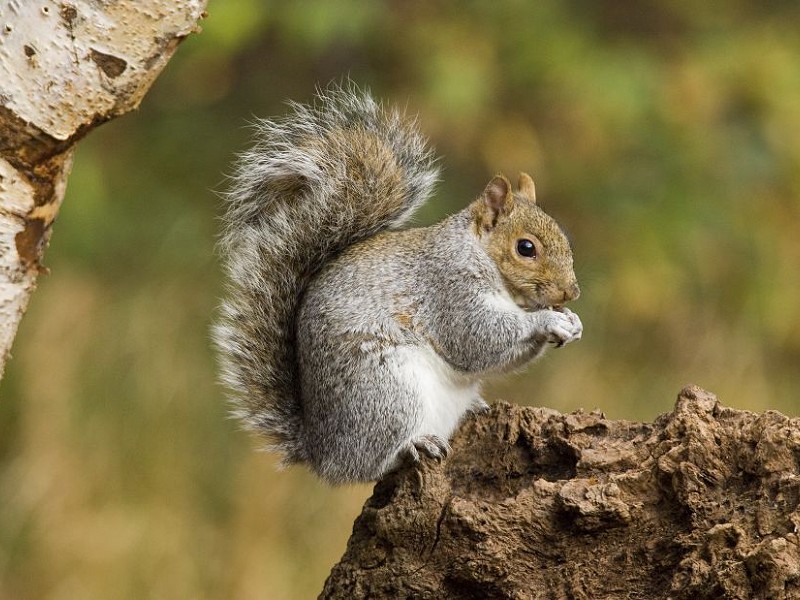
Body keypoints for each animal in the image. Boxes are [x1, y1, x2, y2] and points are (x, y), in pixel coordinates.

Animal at [214, 84, 582, 485]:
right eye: (525, 248)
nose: (571, 292)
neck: (477, 253)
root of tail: (322, 453)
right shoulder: (446, 290)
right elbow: (478, 340)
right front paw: (549, 320)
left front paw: (572, 321)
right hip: (387, 392)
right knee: (369, 464)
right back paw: (412, 445)